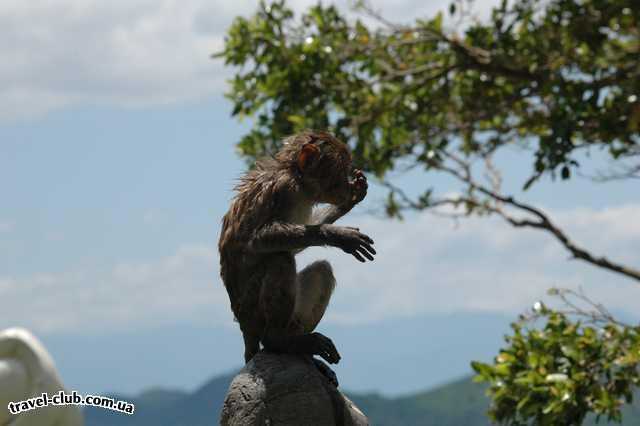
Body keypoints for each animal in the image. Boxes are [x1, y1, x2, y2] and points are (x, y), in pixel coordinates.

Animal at [219, 130, 376, 386]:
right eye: (342, 169)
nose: (347, 184)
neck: (299, 181)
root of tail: (245, 329)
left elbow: (296, 246)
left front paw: (351, 200)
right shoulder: (285, 191)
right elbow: (257, 239)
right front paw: (338, 235)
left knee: (321, 270)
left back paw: (302, 349)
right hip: (254, 313)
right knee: (280, 259)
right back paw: (278, 341)